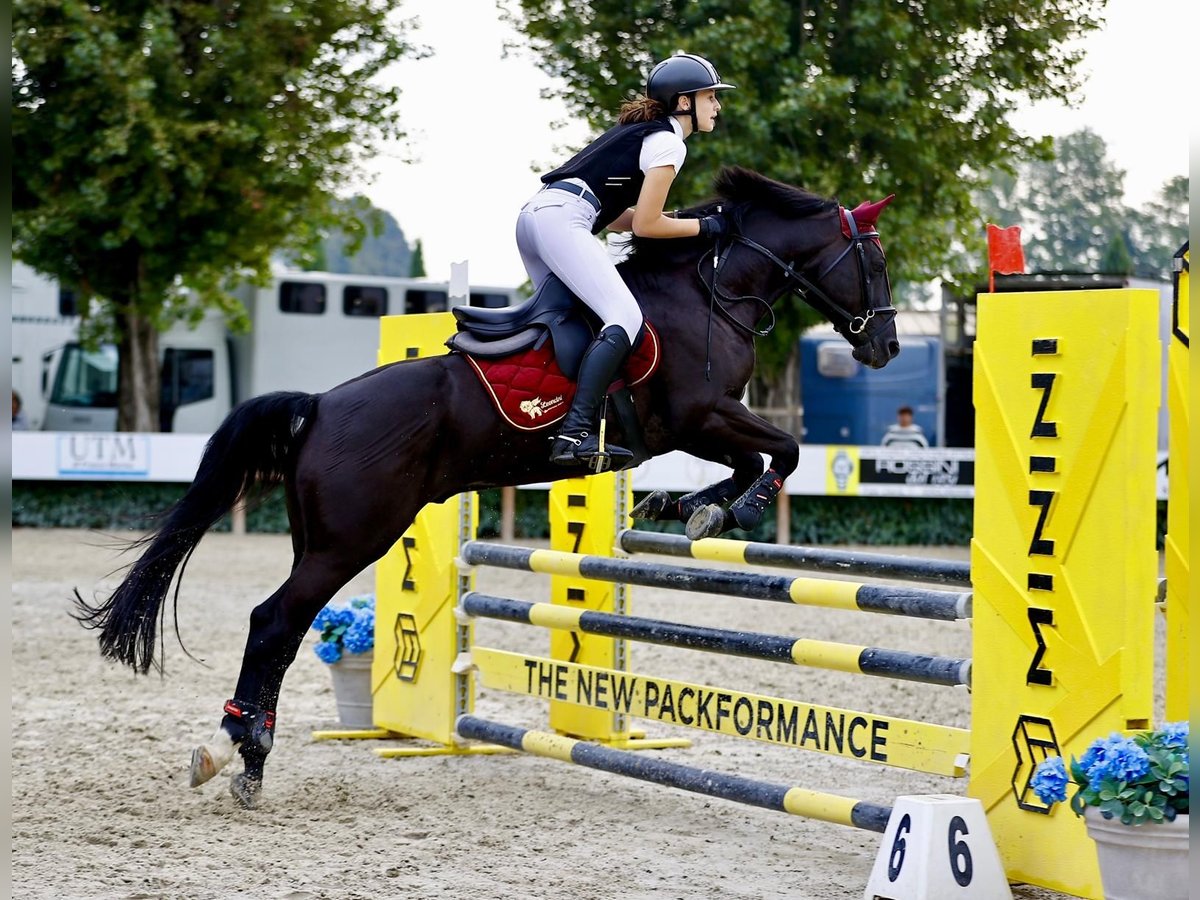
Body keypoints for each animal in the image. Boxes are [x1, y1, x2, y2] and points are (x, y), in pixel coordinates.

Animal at [72, 168, 902, 811]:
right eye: (877, 261)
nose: (886, 345)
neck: (710, 290)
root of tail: (320, 406)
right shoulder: (699, 414)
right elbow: (780, 451)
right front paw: (733, 509)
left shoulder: (697, 425)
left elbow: (747, 461)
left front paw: (687, 507)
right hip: (353, 539)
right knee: (275, 621)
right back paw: (241, 753)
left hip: (321, 537)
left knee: (281, 627)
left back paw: (240, 754)